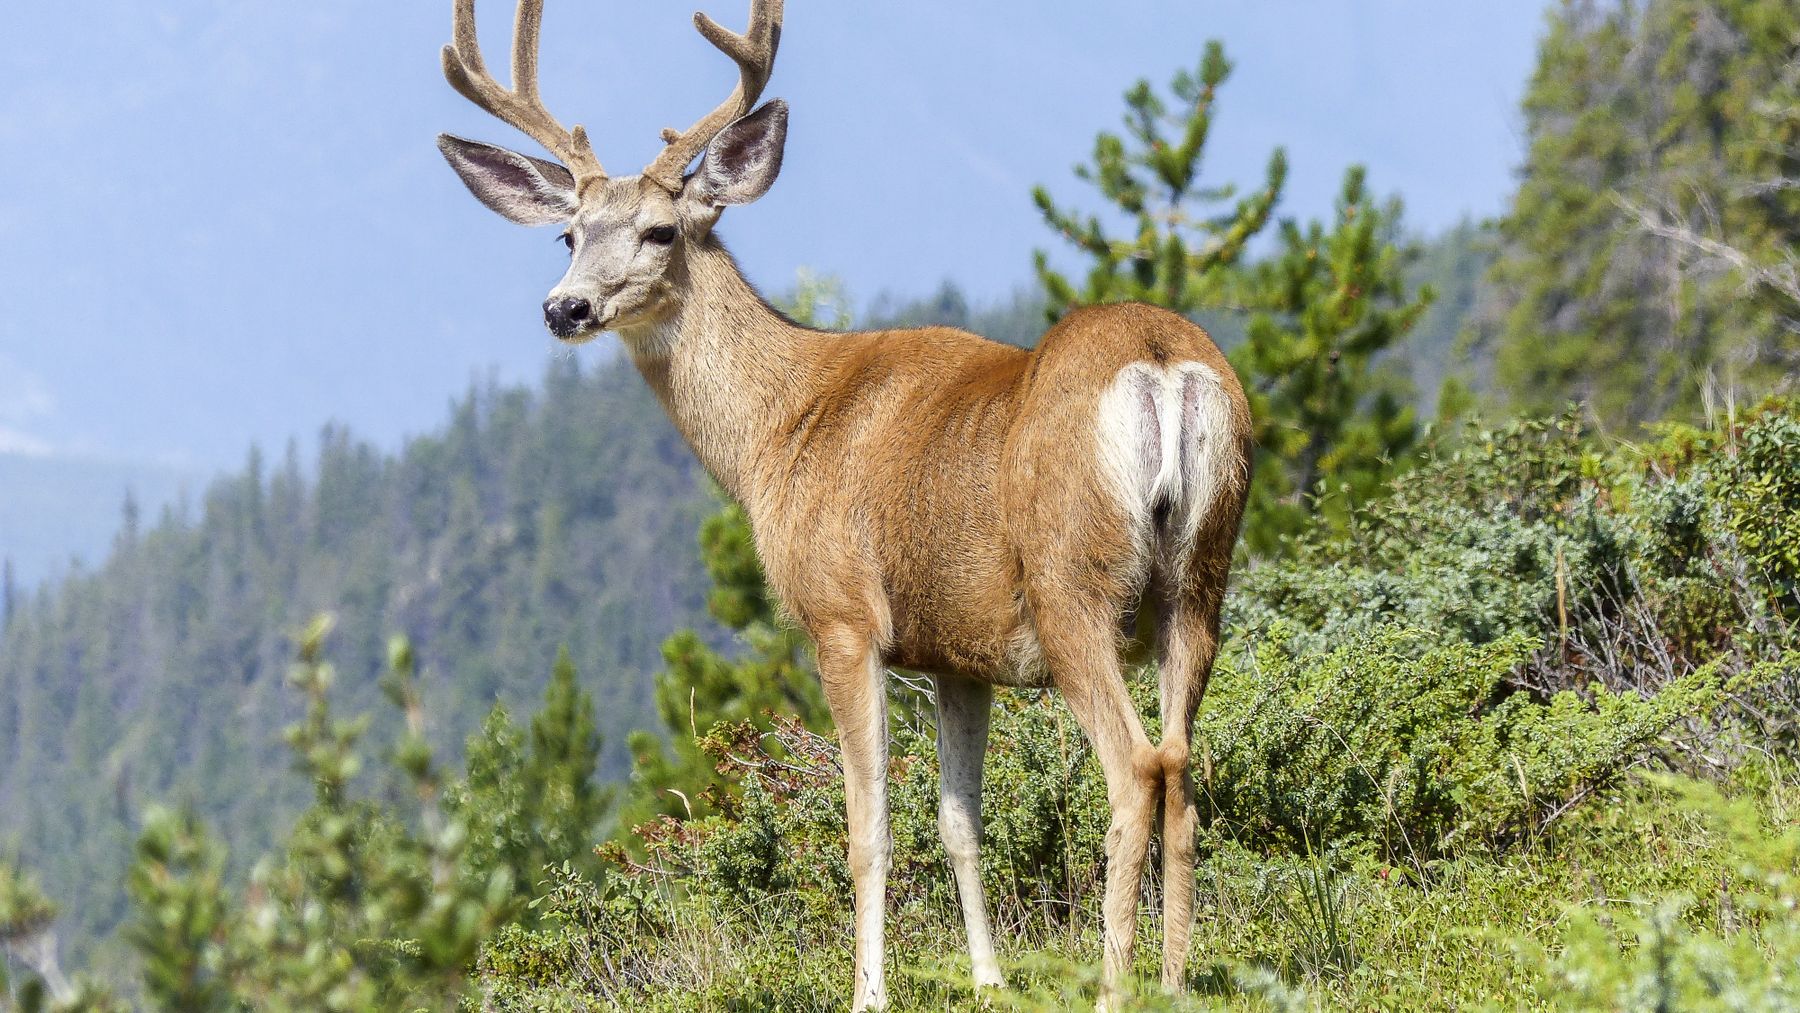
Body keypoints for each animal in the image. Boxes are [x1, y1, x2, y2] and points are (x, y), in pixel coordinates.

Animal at [435, 1, 1252, 1007]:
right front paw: (989, 980)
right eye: (569, 234)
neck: (780, 431)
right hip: (1202, 578)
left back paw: (1113, 983)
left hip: (1074, 583)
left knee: (1136, 766)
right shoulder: (958, 650)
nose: (566, 308)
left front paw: (868, 989)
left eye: (662, 231)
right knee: (1182, 764)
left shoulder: (842, 615)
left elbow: (870, 830)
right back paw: (1175, 978)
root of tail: (1161, 365)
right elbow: (959, 820)